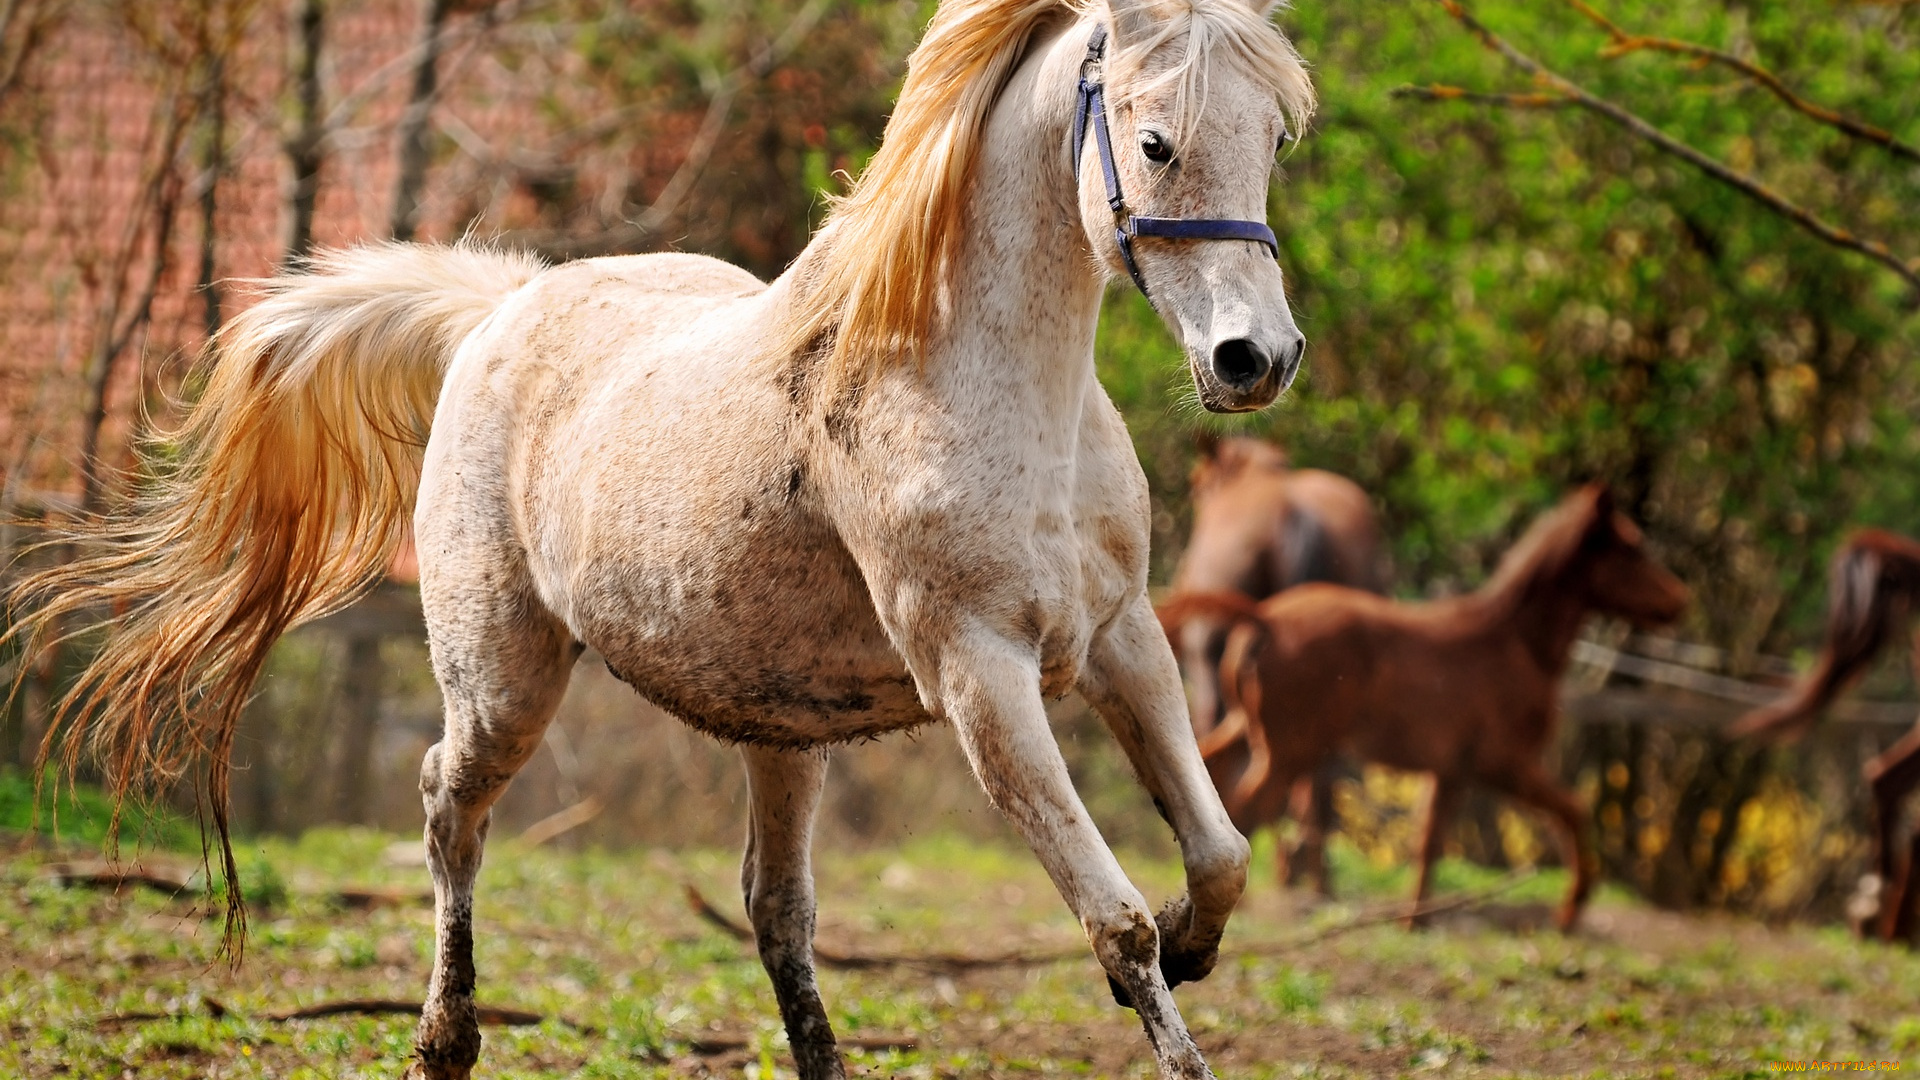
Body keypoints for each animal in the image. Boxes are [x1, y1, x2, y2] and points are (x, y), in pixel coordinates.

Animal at [11, 0, 1305, 1068]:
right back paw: (445, 1040)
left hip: (783, 731)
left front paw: (1195, 941)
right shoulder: (981, 676)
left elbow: (1220, 855)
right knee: (446, 807)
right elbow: (1115, 923)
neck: (977, 387)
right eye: (1155, 143)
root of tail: (502, 310)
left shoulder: (1121, 639)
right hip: (505, 684)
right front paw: (1162, 969)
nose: (1256, 360)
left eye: (1272, 139)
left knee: (776, 912)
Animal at [1152, 484, 1681, 930]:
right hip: (1291, 751)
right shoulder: (1505, 764)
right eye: (1632, 549)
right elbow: (1574, 810)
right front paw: (1570, 911)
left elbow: (1429, 843)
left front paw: (1414, 919)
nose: (1680, 601)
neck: (1513, 644)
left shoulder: (1451, 772)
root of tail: (1265, 618)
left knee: (1212, 777)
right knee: (1247, 809)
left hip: (1251, 730)